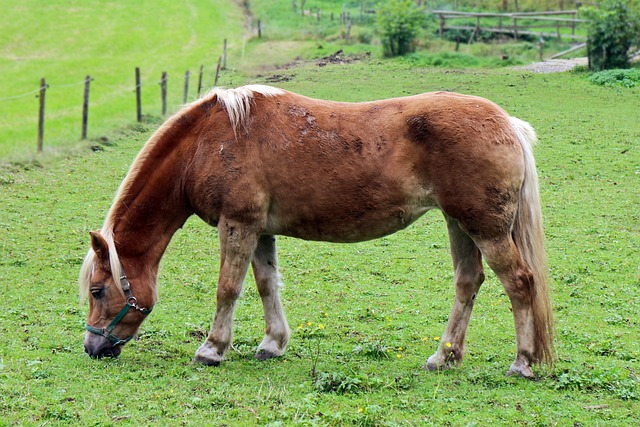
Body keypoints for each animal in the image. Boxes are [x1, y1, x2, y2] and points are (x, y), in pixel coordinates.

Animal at [80, 83, 552, 378]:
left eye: (98, 291)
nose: (92, 348)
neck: (209, 140)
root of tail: (507, 123)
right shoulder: (259, 231)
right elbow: (266, 285)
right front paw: (272, 343)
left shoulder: (237, 225)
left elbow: (228, 289)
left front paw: (212, 349)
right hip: (460, 225)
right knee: (468, 282)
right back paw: (444, 357)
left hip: (486, 230)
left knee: (519, 283)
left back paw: (523, 363)